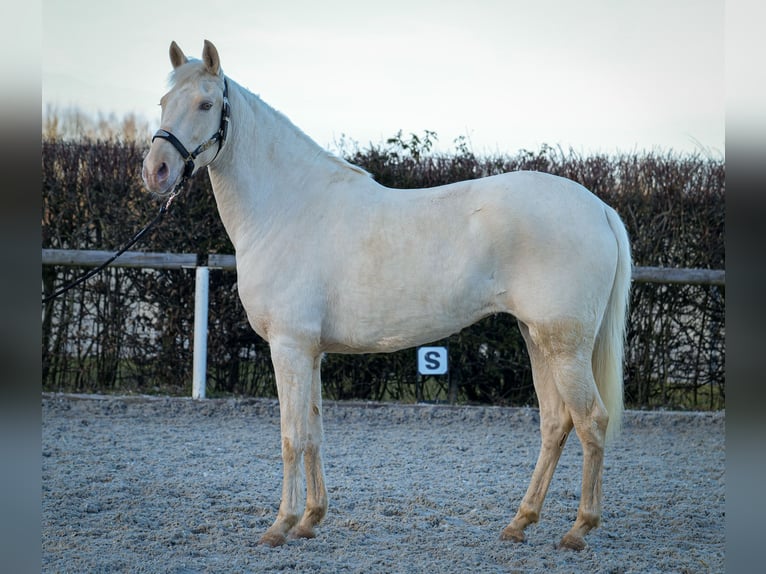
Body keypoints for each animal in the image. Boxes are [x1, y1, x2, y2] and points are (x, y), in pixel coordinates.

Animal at [142, 40, 632, 552]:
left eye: (206, 104)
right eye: (163, 102)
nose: (156, 171)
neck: (287, 208)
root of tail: (599, 208)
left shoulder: (289, 347)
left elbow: (291, 437)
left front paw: (280, 525)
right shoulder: (311, 352)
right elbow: (314, 432)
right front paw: (311, 519)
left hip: (565, 345)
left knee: (591, 421)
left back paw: (578, 529)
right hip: (537, 339)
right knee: (556, 422)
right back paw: (521, 521)